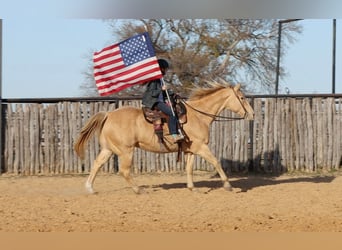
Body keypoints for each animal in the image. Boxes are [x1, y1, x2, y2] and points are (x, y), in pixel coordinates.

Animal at [73, 80, 254, 193]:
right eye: (242, 98)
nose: (252, 114)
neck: (198, 115)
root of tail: (109, 115)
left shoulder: (191, 150)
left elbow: (189, 168)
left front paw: (192, 188)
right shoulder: (201, 147)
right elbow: (216, 162)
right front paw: (228, 185)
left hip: (108, 149)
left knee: (97, 164)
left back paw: (90, 189)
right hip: (126, 151)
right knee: (124, 171)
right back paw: (138, 190)